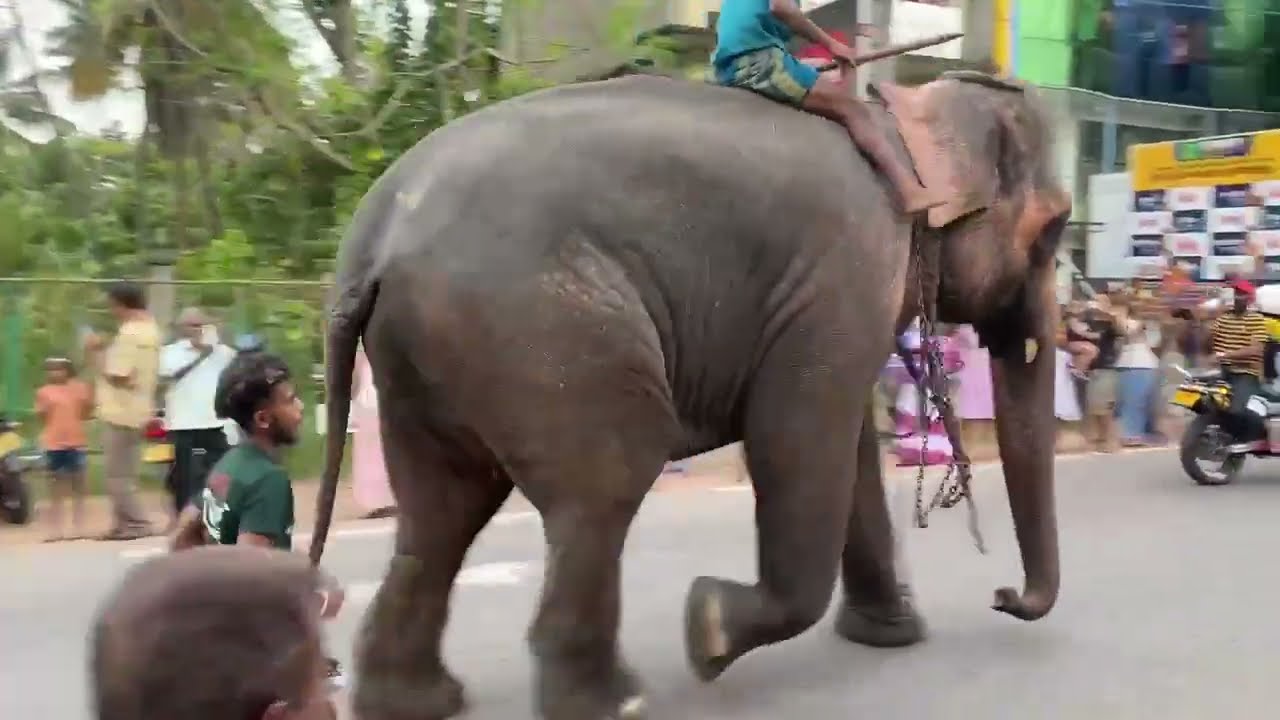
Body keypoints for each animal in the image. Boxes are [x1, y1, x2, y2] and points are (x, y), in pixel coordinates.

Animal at [309, 70, 1070, 720]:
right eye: (1054, 230)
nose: (1002, 594)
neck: (900, 122)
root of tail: (375, 239)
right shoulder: (843, 275)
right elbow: (796, 441)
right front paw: (708, 630)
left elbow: (847, 445)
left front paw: (892, 635)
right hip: (540, 331)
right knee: (605, 485)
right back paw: (616, 703)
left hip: (424, 360)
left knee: (441, 511)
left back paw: (412, 702)